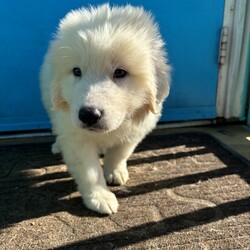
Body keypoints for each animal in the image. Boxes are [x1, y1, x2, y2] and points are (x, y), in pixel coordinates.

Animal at [40, 3, 171, 214]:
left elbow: (120, 152)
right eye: (77, 71)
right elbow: (90, 170)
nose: (88, 115)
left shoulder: (134, 130)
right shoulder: (75, 135)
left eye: (120, 72)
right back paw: (57, 145)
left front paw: (115, 172)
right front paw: (100, 197)